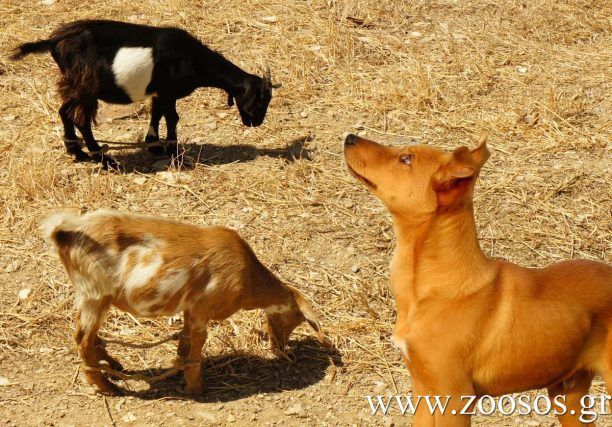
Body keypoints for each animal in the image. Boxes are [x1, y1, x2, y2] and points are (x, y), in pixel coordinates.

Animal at [13, 20, 280, 168]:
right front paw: (174, 151)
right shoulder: (168, 90)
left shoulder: (159, 91)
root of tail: (53, 42)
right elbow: (172, 117)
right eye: (261, 99)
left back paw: (77, 152)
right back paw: (103, 159)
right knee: (81, 119)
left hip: (75, 85)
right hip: (86, 85)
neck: (192, 58)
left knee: (65, 112)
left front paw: (154, 145)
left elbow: (156, 113)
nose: (255, 123)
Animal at [41, 209, 323, 395]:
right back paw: (107, 386)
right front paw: (196, 386)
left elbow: (186, 338)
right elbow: (199, 341)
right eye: (296, 319)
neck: (248, 278)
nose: (282, 349)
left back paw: (112, 365)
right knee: (82, 339)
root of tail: (63, 232)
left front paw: (179, 366)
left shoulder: (190, 308)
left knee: (89, 337)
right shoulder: (202, 308)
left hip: (95, 298)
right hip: (94, 294)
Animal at [344, 133, 611, 426]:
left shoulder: (454, 397)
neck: (429, 287)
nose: (350, 137)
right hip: (566, 391)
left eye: (406, 159)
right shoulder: (424, 389)